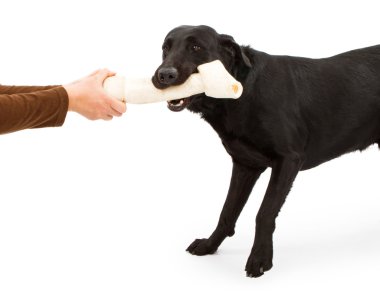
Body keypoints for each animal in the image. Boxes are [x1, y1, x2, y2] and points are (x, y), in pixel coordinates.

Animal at [151, 24, 380, 276]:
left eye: (196, 47)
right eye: (165, 48)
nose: (164, 75)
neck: (241, 91)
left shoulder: (289, 160)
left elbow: (265, 213)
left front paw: (260, 258)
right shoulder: (245, 164)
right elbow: (227, 211)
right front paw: (210, 245)